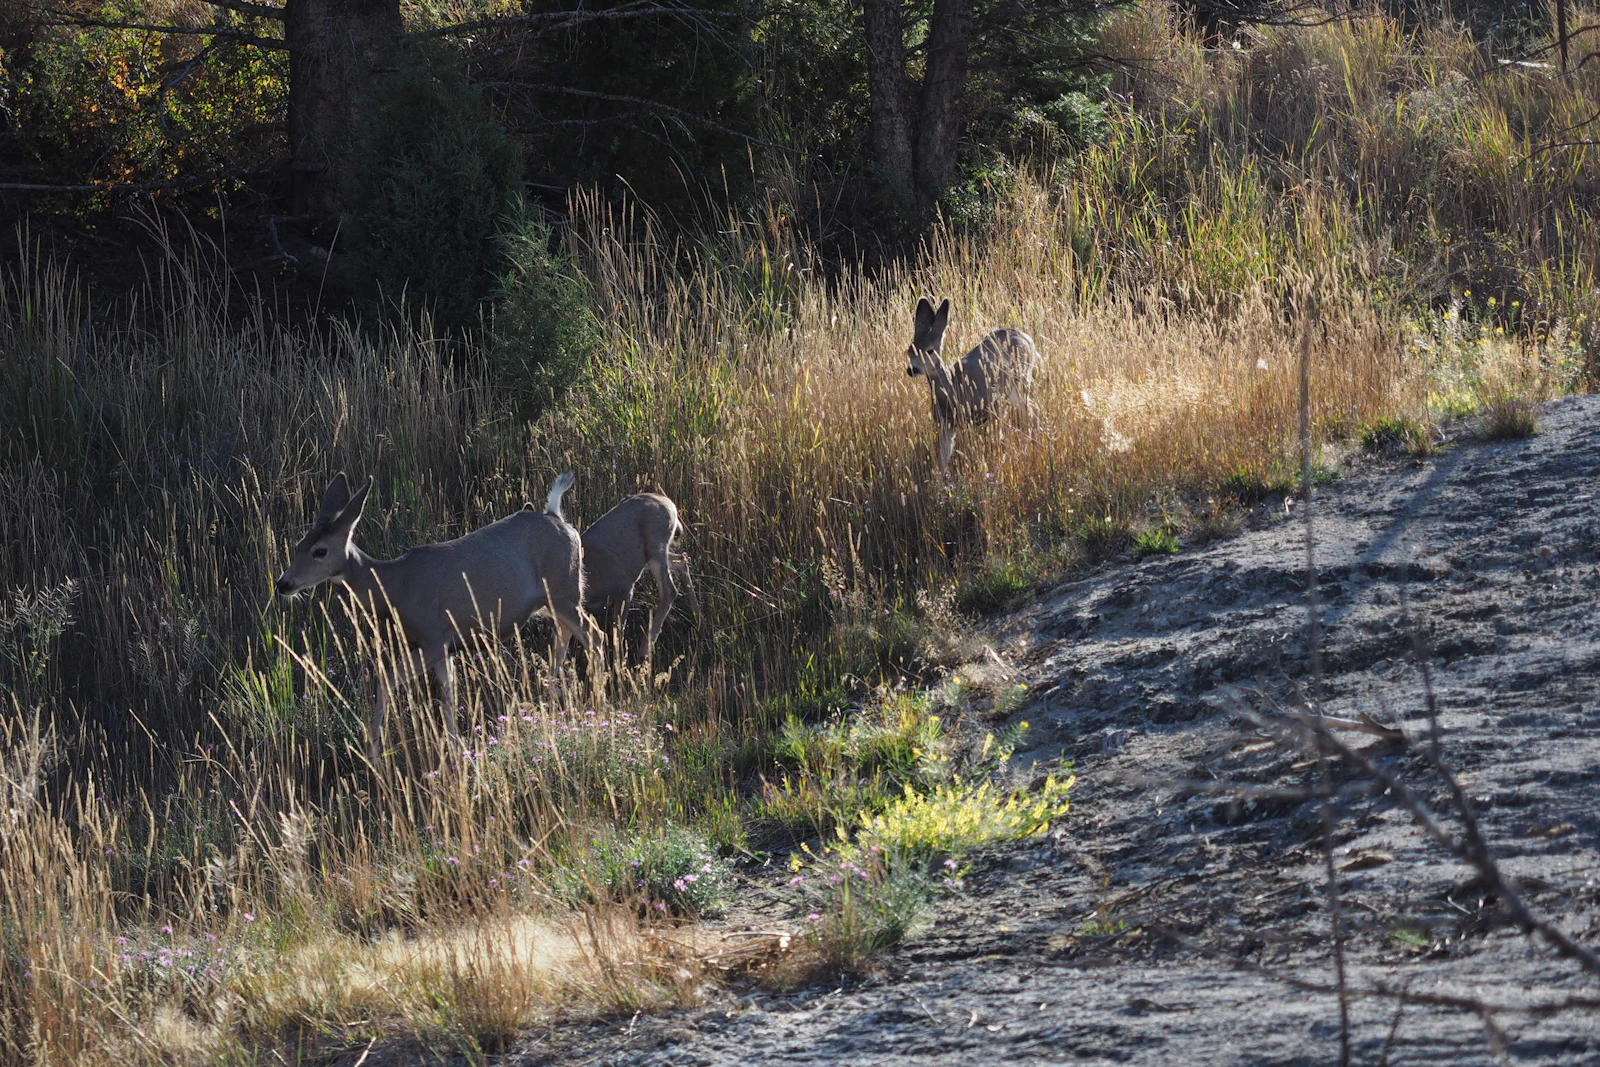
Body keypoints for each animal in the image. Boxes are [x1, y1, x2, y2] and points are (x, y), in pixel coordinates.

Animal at [274, 471, 602, 761]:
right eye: (298, 545)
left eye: (319, 551)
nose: (283, 584)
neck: (393, 587)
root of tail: (558, 517)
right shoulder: (445, 647)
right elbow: (448, 695)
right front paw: (456, 748)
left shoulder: (431, 638)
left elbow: (387, 677)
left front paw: (373, 752)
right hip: (555, 598)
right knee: (565, 634)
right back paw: (551, 697)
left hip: (564, 592)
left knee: (594, 635)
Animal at [579, 492, 698, 666]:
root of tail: (668, 503)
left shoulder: (624, 589)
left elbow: (617, 631)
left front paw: (619, 666)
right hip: (650, 558)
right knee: (682, 560)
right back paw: (698, 617)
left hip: (656, 549)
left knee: (669, 590)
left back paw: (644, 653)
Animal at [904, 296, 1040, 471]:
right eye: (909, 350)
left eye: (930, 350)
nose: (912, 369)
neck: (954, 389)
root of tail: (1027, 338)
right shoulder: (946, 423)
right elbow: (943, 458)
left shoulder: (992, 406)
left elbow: (996, 440)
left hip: (1021, 380)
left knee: (1031, 409)